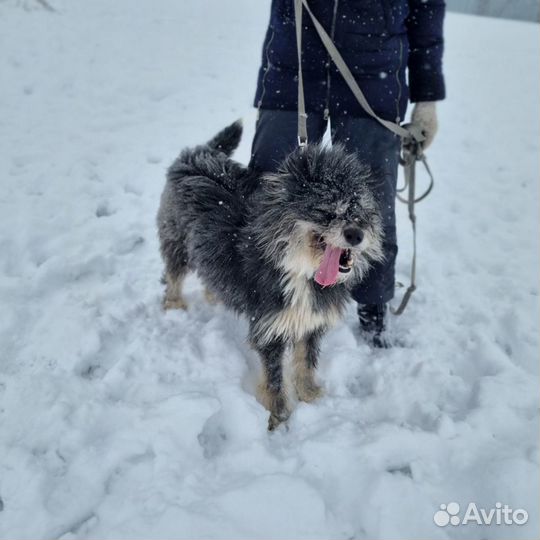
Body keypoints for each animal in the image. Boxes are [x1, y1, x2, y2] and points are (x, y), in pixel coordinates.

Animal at [156, 122, 384, 430]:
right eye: (326, 210)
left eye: (358, 209)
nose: (356, 235)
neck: (299, 268)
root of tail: (197, 153)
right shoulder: (270, 329)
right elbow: (274, 381)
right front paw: (278, 420)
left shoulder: (311, 323)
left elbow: (305, 363)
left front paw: (309, 395)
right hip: (176, 241)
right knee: (173, 274)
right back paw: (173, 305)